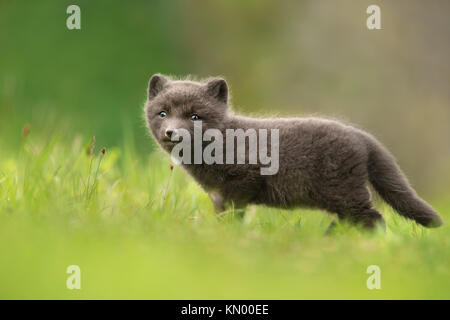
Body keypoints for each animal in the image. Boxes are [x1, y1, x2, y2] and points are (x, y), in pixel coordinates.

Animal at [144, 74, 442, 231]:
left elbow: (235, 211)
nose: (172, 132)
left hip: (345, 193)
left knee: (373, 218)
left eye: (195, 116)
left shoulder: (244, 179)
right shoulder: (217, 194)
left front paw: (230, 232)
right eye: (163, 113)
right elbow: (221, 213)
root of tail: (362, 136)